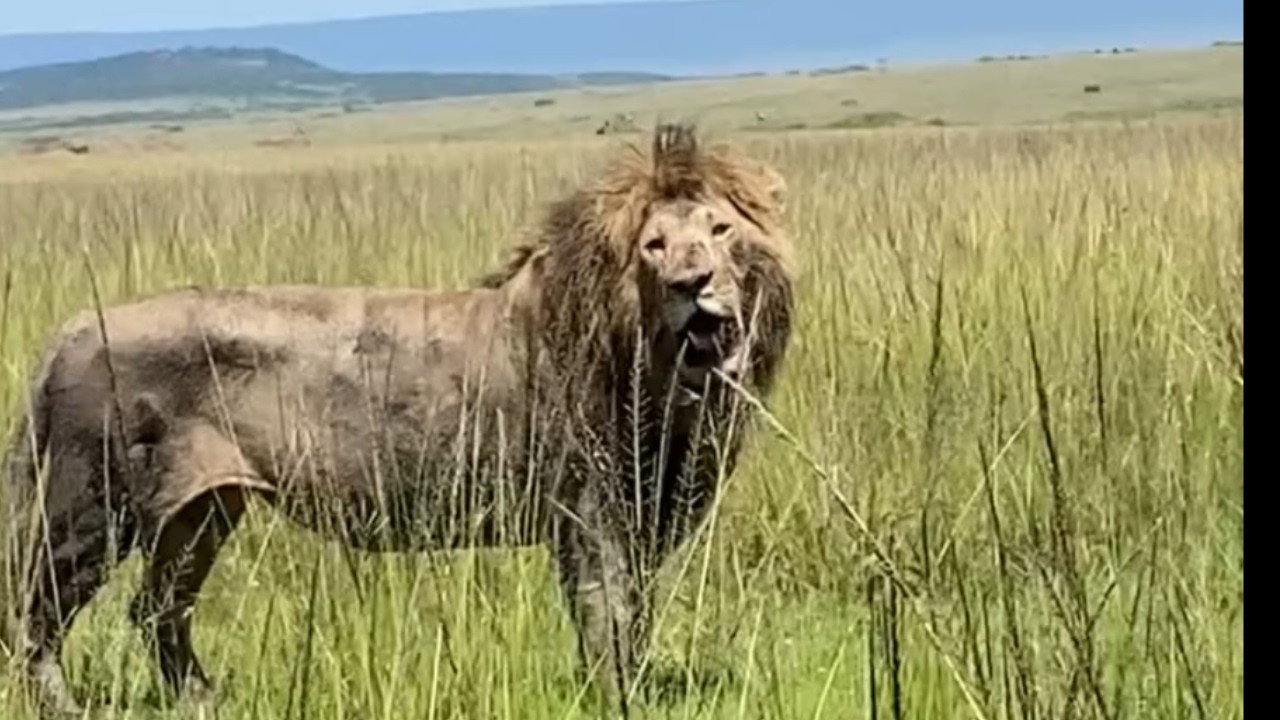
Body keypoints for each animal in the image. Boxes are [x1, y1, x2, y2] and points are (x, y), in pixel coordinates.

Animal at [4, 123, 795, 715]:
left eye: (720, 230)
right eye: (654, 246)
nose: (693, 283)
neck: (661, 370)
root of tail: (70, 328)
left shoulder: (637, 512)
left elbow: (631, 616)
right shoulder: (590, 509)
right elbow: (607, 617)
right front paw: (615, 698)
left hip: (202, 511)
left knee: (157, 609)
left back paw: (204, 699)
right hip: (90, 506)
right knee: (36, 613)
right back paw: (67, 707)